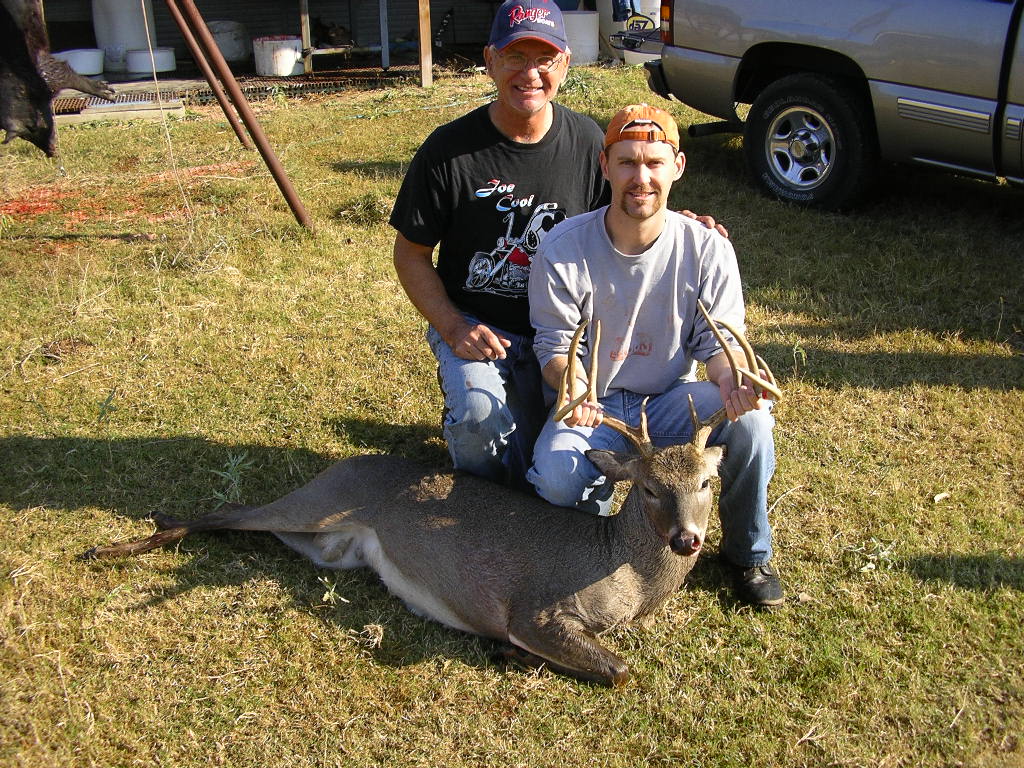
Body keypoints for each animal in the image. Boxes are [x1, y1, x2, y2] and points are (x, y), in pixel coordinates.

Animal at [83, 303, 781, 687]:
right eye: (651, 488)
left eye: (706, 482)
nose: (687, 538)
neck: (626, 582)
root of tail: (342, 466)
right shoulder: (536, 607)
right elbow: (617, 667)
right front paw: (508, 650)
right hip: (320, 502)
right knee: (231, 510)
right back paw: (114, 545)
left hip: (325, 545)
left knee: (244, 522)